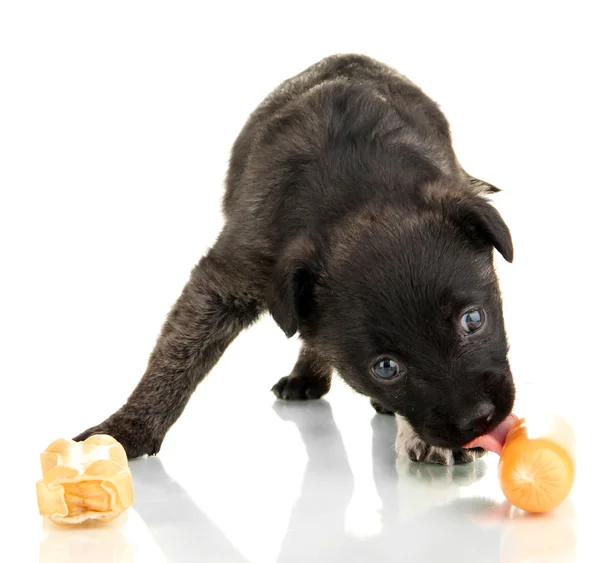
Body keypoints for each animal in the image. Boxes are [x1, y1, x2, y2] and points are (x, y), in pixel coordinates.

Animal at [75, 55, 516, 464]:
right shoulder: (231, 276)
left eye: (473, 320)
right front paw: (126, 428)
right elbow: (174, 356)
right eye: (385, 368)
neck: (355, 192)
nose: (478, 419)